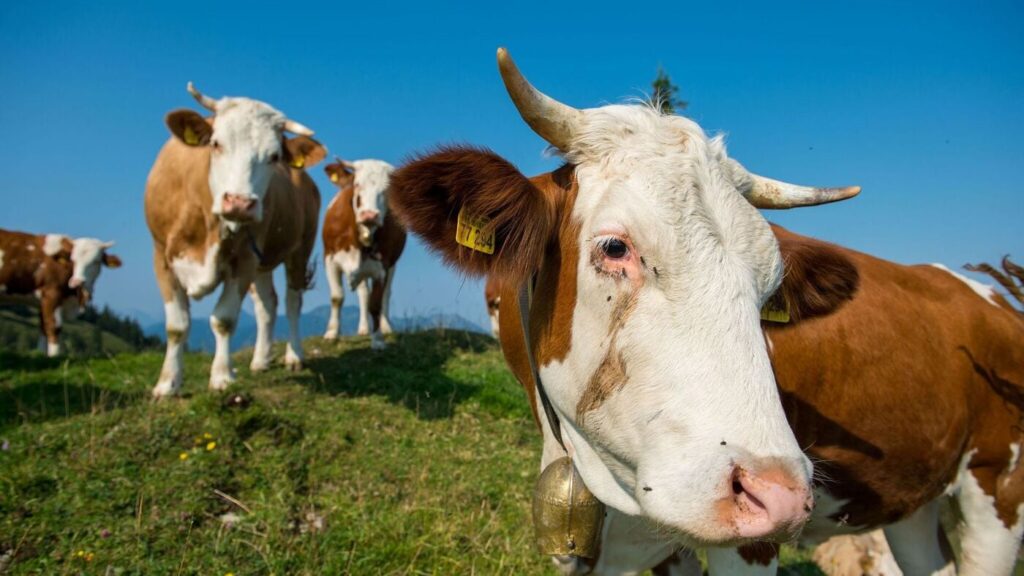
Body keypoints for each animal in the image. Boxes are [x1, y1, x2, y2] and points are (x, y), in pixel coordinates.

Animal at [144, 83, 325, 397]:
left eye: (274, 156)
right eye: (216, 143)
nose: (240, 202)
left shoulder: (244, 260)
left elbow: (224, 319)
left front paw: (222, 377)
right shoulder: (161, 256)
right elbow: (176, 325)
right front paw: (167, 384)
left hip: (299, 248)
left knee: (292, 301)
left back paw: (294, 356)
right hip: (263, 261)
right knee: (267, 305)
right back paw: (261, 359)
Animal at [322, 158, 406, 349]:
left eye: (387, 191)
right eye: (357, 185)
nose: (370, 215)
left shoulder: (382, 267)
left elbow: (375, 303)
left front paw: (378, 339)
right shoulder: (330, 259)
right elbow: (337, 297)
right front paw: (332, 333)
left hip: (392, 266)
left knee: (386, 294)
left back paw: (386, 326)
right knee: (363, 293)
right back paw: (363, 328)